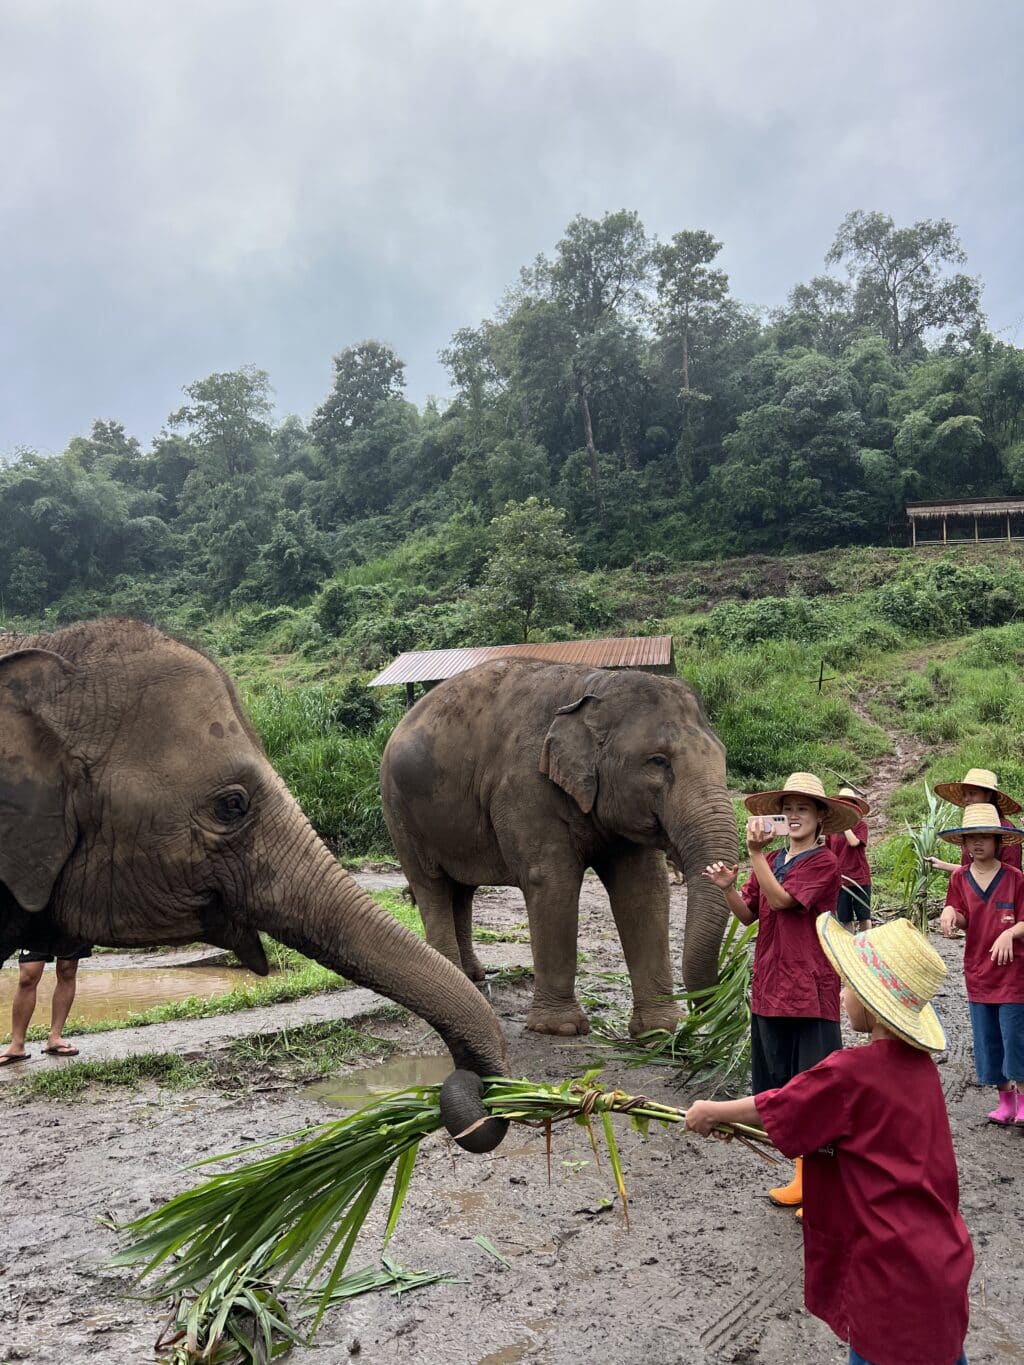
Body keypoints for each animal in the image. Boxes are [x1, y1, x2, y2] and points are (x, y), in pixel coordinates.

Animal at [382, 660, 737, 1031]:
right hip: (399, 811)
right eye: (658, 761)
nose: (707, 1009)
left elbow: (644, 888)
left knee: (462, 890)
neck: (592, 686)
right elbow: (552, 882)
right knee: (431, 885)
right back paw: (458, 977)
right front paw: (560, 1028)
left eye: (723, 755)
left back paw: (472, 977)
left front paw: (660, 1028)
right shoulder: (525, 788)